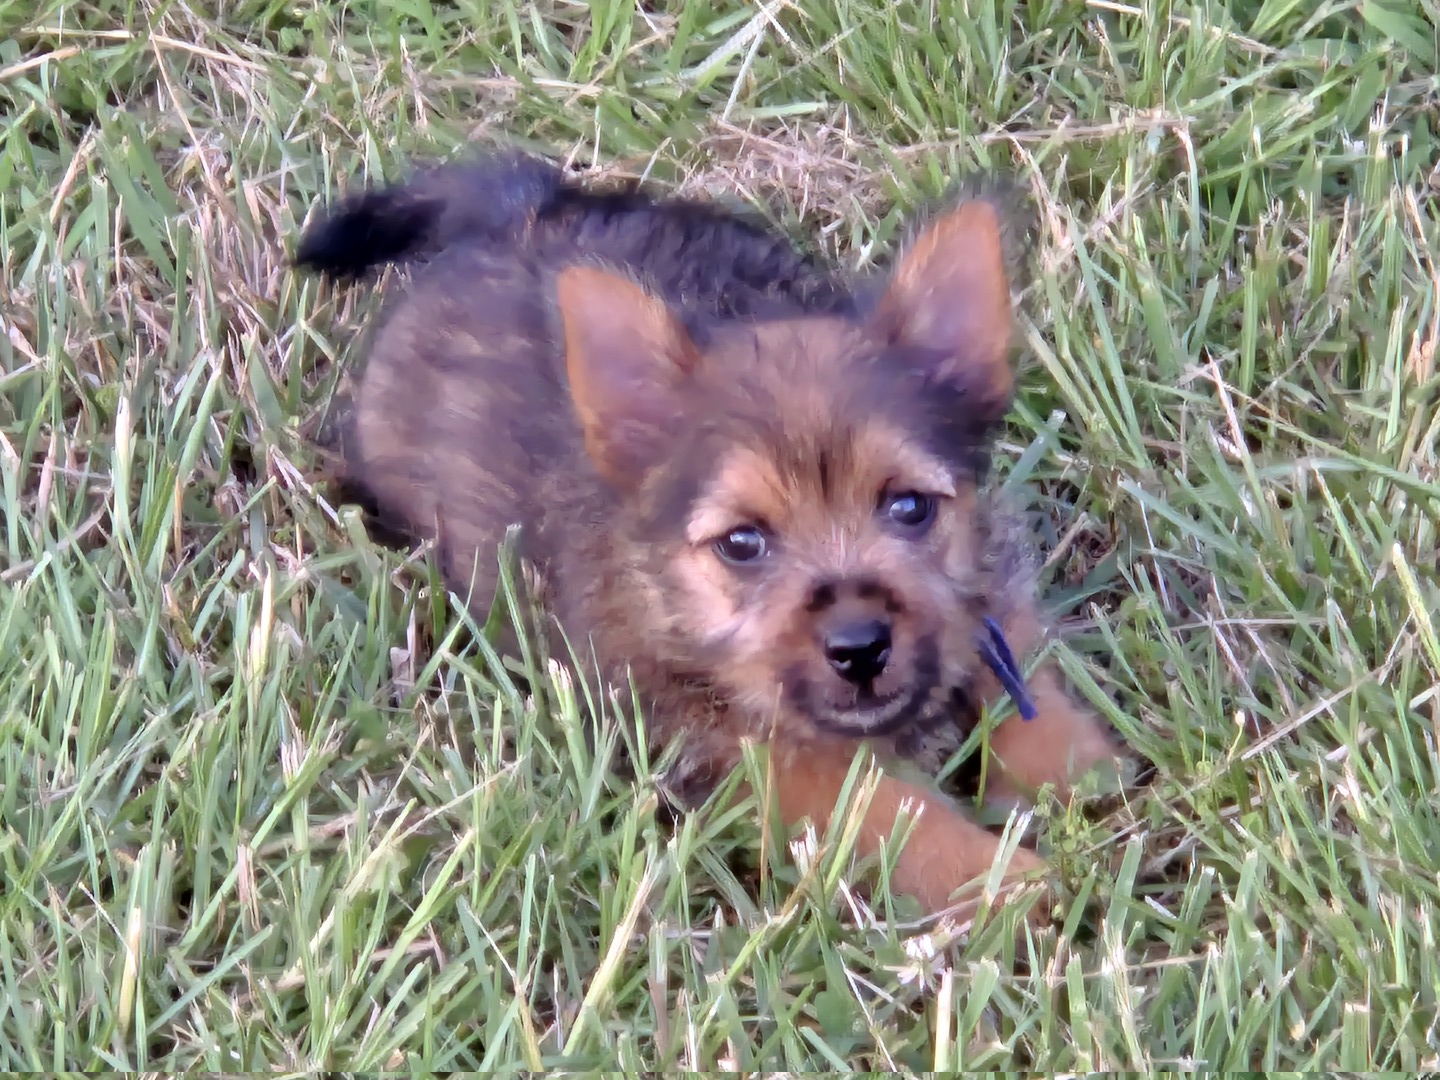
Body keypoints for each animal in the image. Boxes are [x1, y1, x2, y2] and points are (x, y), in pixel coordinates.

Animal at [294, 149, 1118, 924]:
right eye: (742, 543)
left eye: (910, 508)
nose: (860, 648)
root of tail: (516, 212)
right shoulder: (754, 761)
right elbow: (894, 816)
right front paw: (1018, 883)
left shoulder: (984, 577)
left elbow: (1016, 659)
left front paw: (1072, 772)